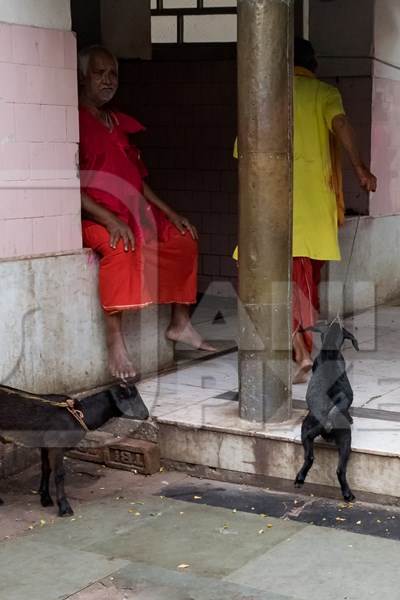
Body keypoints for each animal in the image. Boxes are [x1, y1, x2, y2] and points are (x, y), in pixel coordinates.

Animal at [0, 384, 149, 516]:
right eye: (128, 395)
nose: (146, 414)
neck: (79, 414)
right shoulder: (56, 445)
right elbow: (59, 474)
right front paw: (64, 507)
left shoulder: (44, 444)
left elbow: (46, 469)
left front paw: (45, 498)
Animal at [294, 322, 360, 504]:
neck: (329, 351)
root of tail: (326, 418)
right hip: (342, 437)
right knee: (339, 469)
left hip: (309, 431)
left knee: (311, 458)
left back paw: (300, 479)